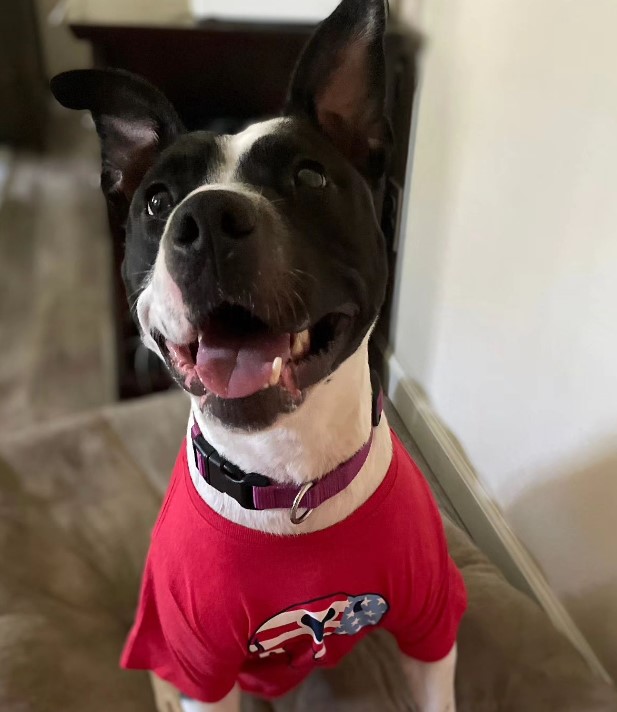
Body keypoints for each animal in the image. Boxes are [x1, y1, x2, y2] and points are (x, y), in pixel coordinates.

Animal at [54, 1, 466, 712]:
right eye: (158, 201)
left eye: (309, 175)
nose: (207, 222)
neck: (288, 481)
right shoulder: (196, 663)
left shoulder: (432, 623)